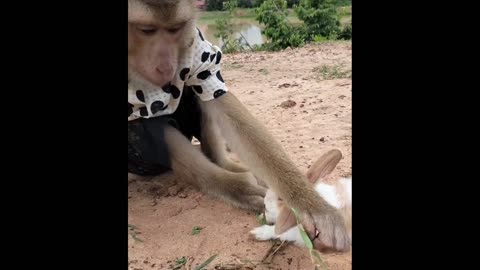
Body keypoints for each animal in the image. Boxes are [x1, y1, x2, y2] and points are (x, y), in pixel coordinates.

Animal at [127, 0, 350, 253]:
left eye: (175, 28)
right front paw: (239, 190)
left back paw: (227, 164)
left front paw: (311, 205)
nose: (166, 66)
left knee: (200, 92)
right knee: (150, 122)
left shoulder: (194, 40)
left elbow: (219, 100)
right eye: (146, 30)